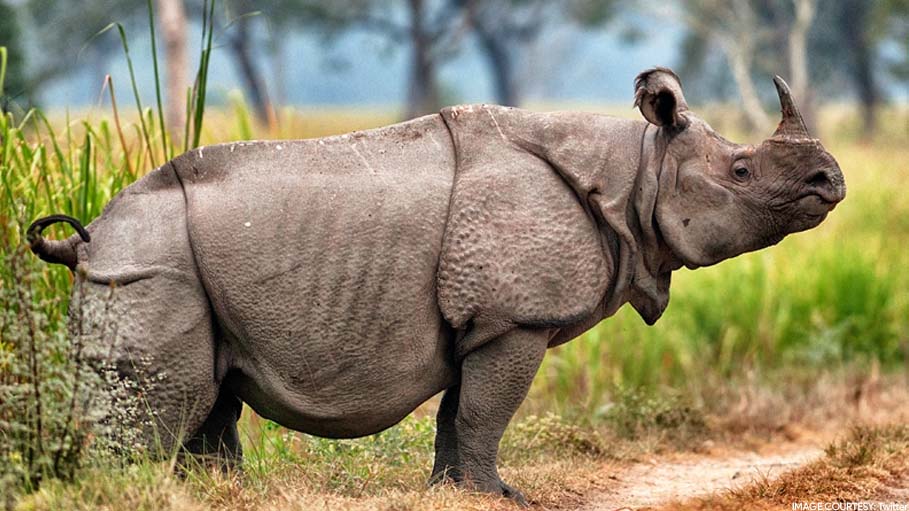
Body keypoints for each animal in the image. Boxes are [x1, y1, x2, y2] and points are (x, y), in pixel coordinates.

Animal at [28, 68, 844, 504]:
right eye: (742, 170)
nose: (829, 182)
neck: (635, 172)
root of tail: (86, 238)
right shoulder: (514, 316)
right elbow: (487, 410)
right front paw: (502, 497)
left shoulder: (482, 320)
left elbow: (460, 411)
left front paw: (454, 493)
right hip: (143, 263)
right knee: (164, 405)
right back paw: (123, 490)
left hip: (165, 265)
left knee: (212, 397)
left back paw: (216, 494)